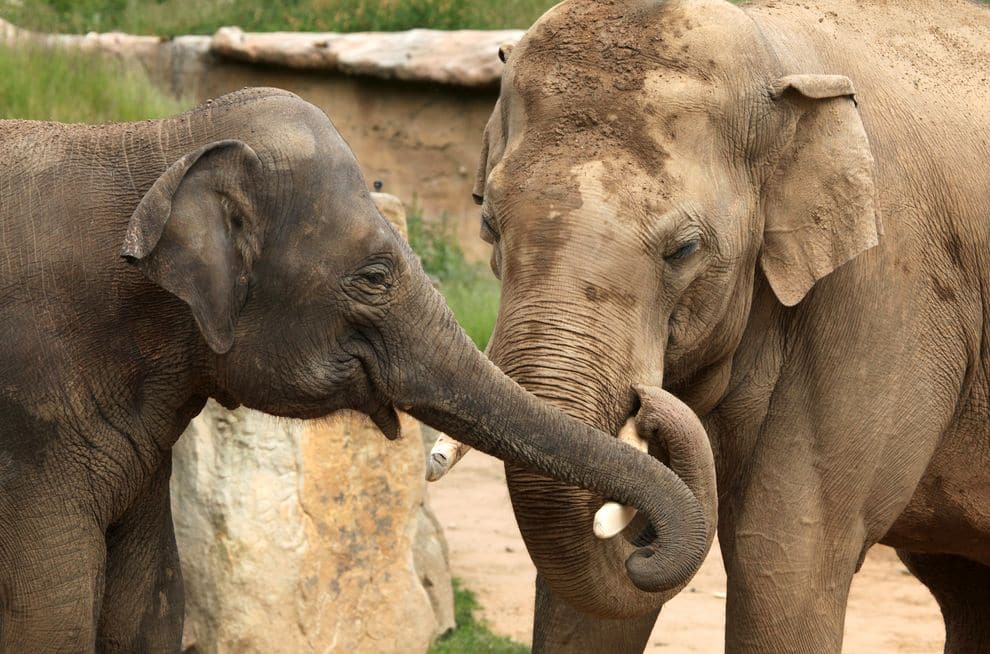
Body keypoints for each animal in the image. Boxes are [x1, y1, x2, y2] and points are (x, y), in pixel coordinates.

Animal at [0, 88, 720, 654]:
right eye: (374, 277)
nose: (648, 400)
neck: (159, 142)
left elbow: (148, 604)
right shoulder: (32, 417)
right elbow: (51, 620)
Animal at [428, 0, 990, 652]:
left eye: (685, 249)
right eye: (488, 225)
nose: (650, 406)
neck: (774, 51)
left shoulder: (884, 293)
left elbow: (784, 559)